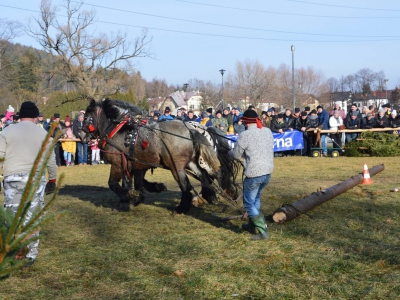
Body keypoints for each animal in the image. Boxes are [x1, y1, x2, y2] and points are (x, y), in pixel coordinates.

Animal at [84, 98, 238, 213]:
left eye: (86, 117)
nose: (82, 135)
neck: (120, 129)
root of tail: (192, 130)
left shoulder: (118, 164)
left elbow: (114, 184)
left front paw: (128, 199)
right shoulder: (136, 164)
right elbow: (136, 183)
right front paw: (136, 198)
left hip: (178, 166)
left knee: (191, 183)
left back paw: (184, 207)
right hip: (192, 162)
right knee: (206, 177)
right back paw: (207, 197)